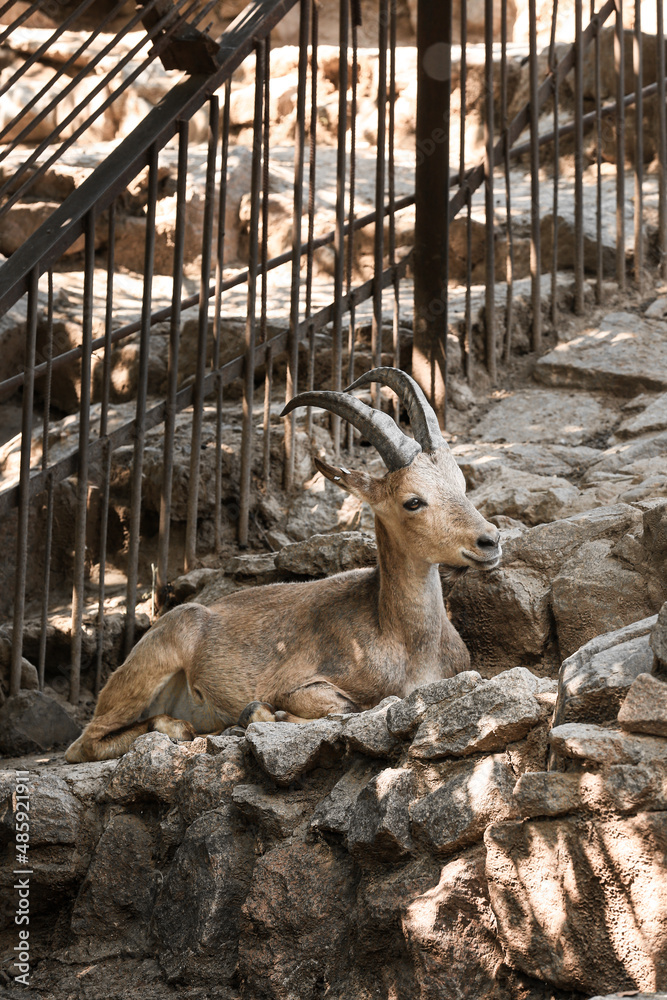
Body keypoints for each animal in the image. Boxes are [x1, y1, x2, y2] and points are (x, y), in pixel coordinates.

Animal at [65, 368, 501, 763]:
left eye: (461, 483)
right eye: (413, 501)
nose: (490, 540)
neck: (405, 640)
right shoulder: (299, 683)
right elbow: (340, 706)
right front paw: (264, 714)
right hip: (153, 662)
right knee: (83, 743)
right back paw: (179, 728)